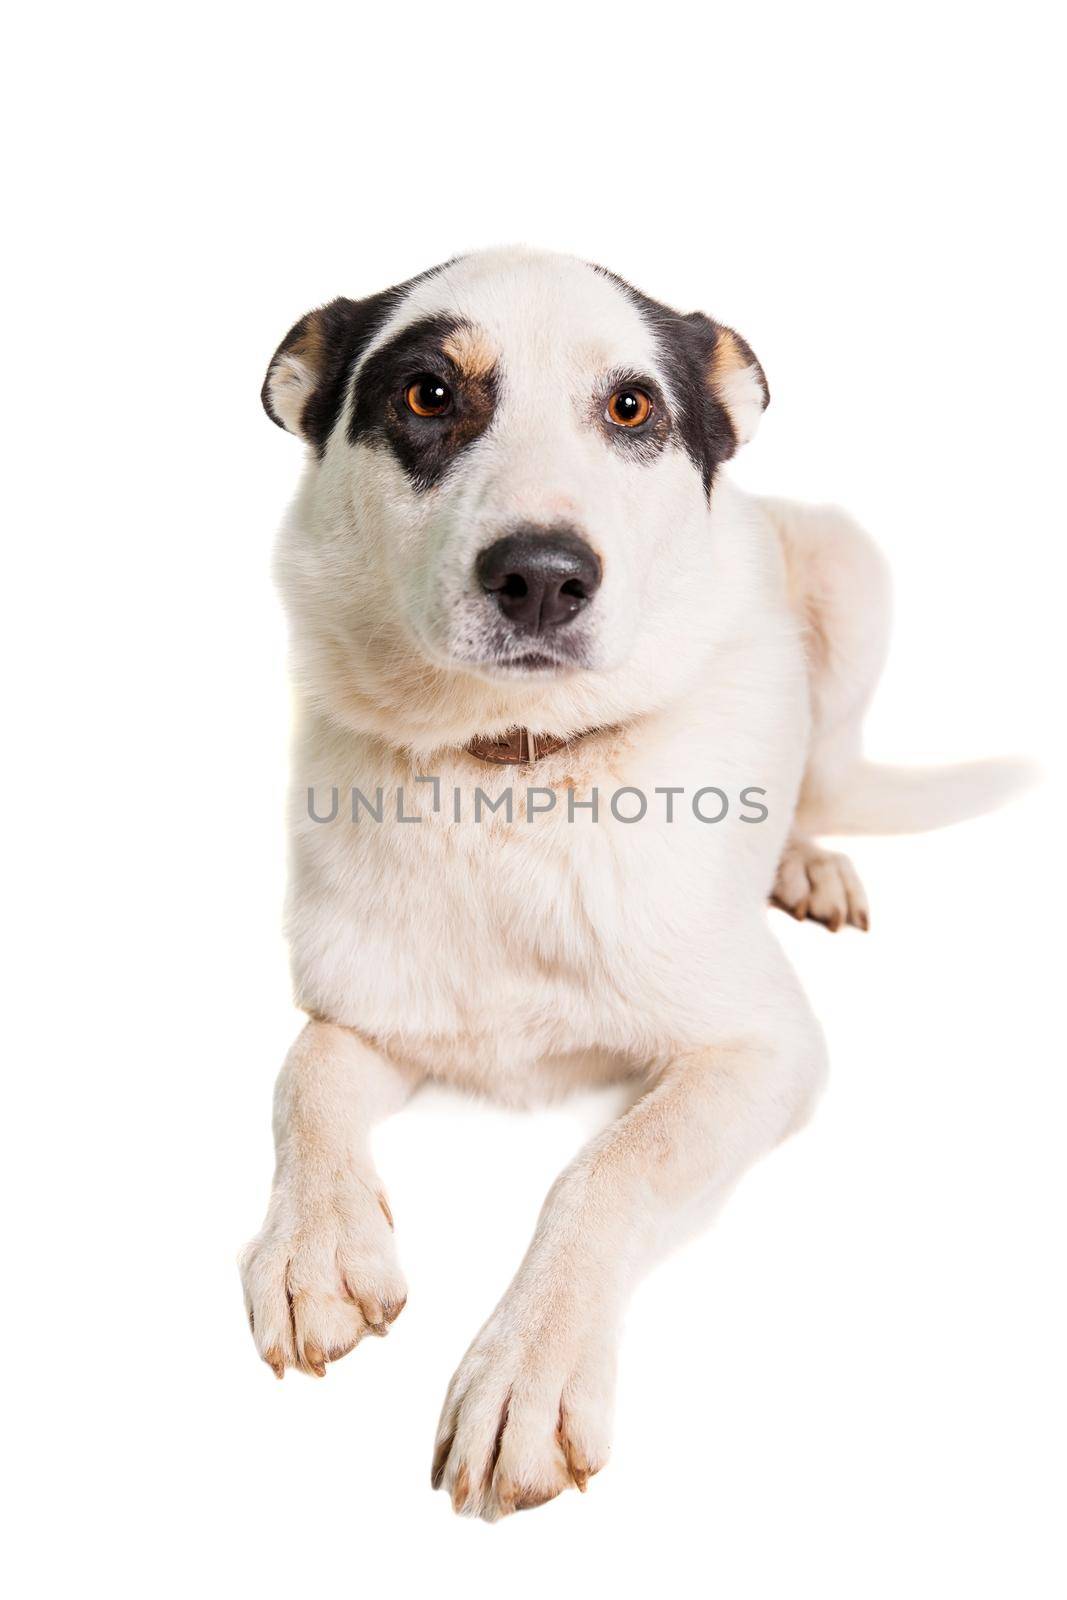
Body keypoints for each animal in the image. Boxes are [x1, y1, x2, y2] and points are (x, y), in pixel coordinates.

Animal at [238, 243, 1023, 1516]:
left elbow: (603, 1170)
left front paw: (527, 1367)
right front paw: (311, 1248)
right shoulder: (368, 1008)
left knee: (821, 775)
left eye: (629, 408)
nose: (541, 577)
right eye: (426, 394)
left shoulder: (758, 1047)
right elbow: (300, 1077)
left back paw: (804, 859)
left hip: (846, 567)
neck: (516, 777)